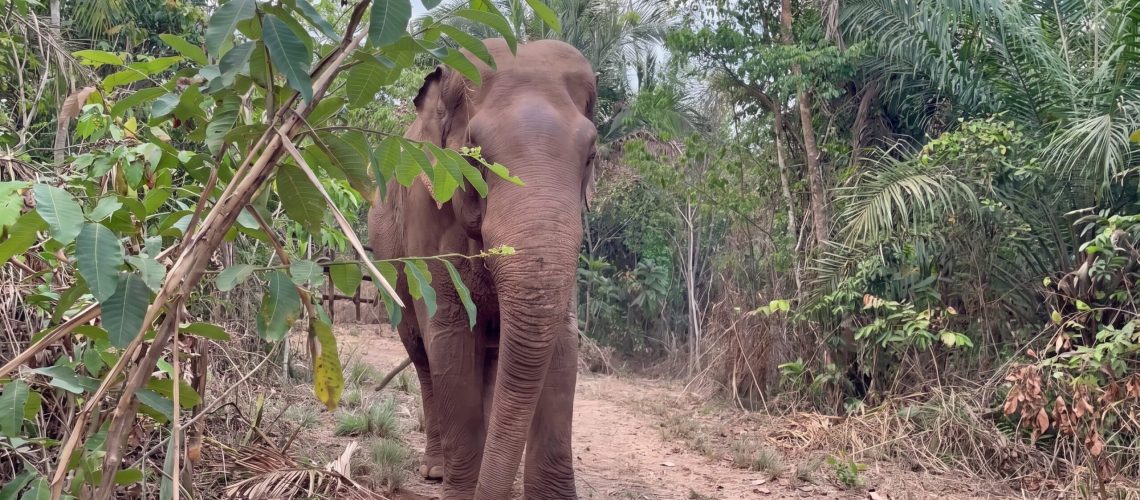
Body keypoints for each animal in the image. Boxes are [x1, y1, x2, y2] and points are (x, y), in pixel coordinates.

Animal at [366, 38, 597, 500]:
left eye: (590, 156)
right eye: (475, 160)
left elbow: (563, 339)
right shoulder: (426, 208)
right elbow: (449, 333)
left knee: (490, 357)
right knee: (421, 353)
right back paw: (435, 470)